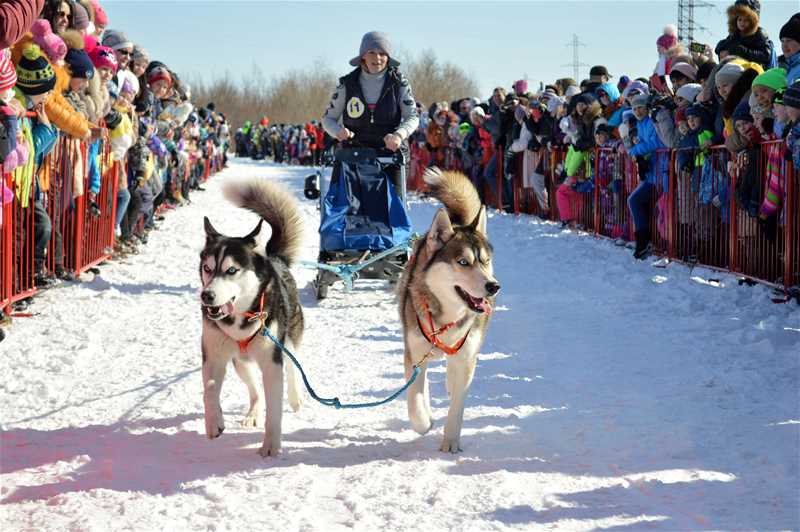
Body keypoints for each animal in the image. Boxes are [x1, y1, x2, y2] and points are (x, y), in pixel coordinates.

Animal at [202, 180, 304, 458]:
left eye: (231, 270)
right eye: (207, 268)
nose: (207, 296)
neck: (240, 319)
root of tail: (275, 258)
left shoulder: (272, 362)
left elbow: (275, 409)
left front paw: (271, 445)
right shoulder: (213, 356)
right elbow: (210, 389)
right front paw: (214, 422)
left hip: (287, 342)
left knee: (293, 368)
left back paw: (296, 398)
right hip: (240, 361)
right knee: (254, 389)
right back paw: (252, 413)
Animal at [398, 166, 500, 454]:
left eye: (485, 261)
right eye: (463, 262)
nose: (493, 286)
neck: (448, 318)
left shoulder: (466, 356)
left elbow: (458, 404)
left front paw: (451, 439)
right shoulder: (414, 354)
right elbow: (414, 399)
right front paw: (425, 422)